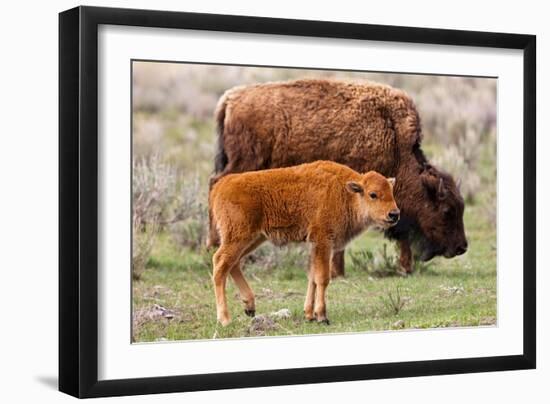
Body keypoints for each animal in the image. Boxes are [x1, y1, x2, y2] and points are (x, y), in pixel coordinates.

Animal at [209, 78, 468, 276]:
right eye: (446, 210)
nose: (462, 247)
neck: (393, 139)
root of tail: (230, 99)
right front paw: (338, 271)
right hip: (244, 164)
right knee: (217, 184)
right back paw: (214, 244)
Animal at [209, 160, 398, 326]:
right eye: (373, 194)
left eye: (391, 192)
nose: (394, 214)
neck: (345, 193)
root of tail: (221, 186)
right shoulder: (323, 241)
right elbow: (322, 278)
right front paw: (322, 316)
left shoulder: (315, 246)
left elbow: (312, 277)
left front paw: (309, 314)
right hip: (238, 238)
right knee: (220, 265)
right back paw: (224, 319)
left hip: (253, 239)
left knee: (233, 264)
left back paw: (250, 307)